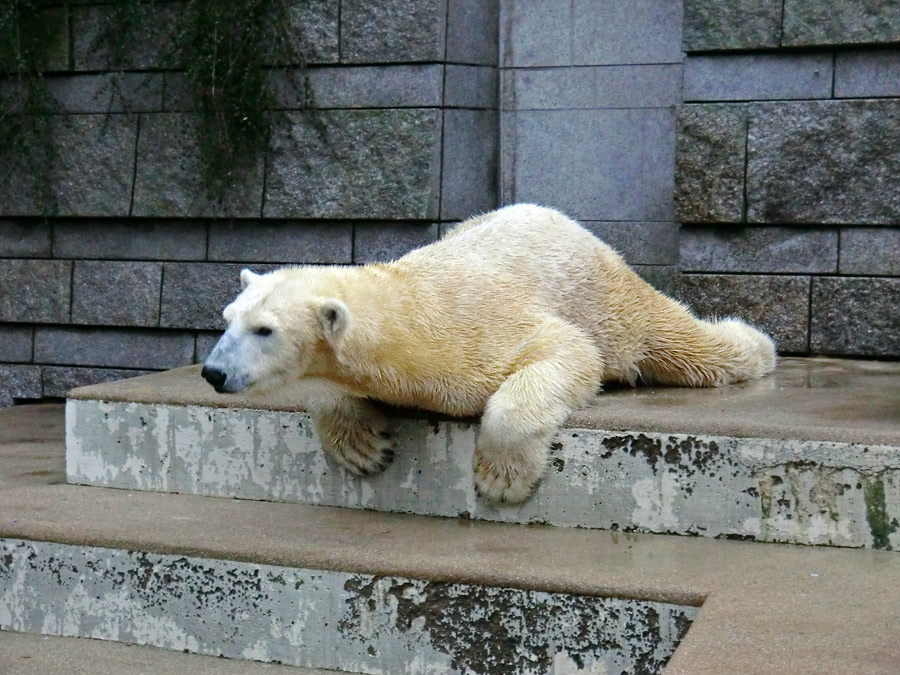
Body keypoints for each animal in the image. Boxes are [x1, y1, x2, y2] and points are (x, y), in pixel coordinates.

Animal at [202, 205, 772, 502]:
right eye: (227, 319)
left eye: (265, 330)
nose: (212, 372)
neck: (408, 309)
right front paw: (363, 446)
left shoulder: (473, 331)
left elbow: (564, 350)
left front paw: (500, 478)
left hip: (604, 297)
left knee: (679, 343)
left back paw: (752, 342)